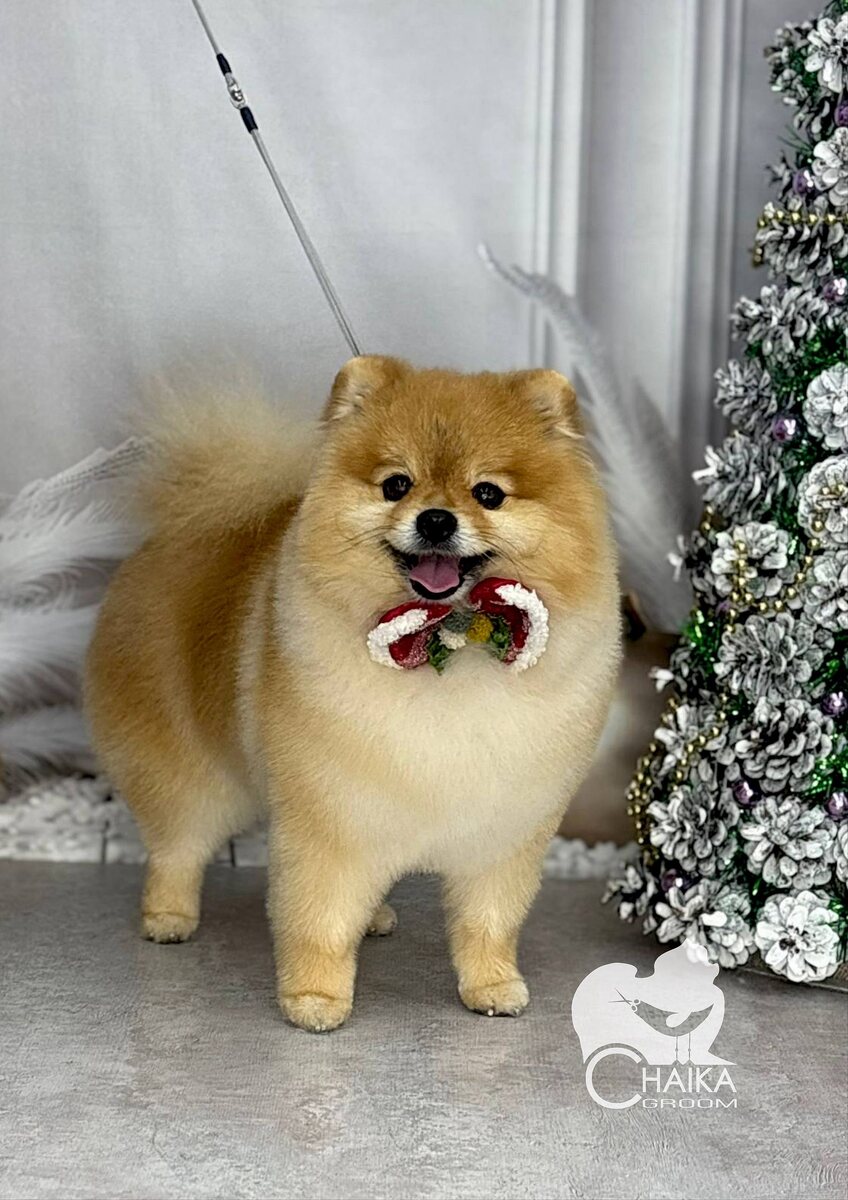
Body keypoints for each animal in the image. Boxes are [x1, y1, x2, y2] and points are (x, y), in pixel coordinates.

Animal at [85, 356, 621, 1031]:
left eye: (488, 493)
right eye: (396, 485)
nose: (436, 518)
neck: (449, 640)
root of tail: (176, 529)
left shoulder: (500, 827)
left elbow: (487, 922)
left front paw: (493, 985)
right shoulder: (328, 816)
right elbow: (319, 916)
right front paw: (315, 999)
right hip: (189, 773)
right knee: (178, 846)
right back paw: (169, 918)